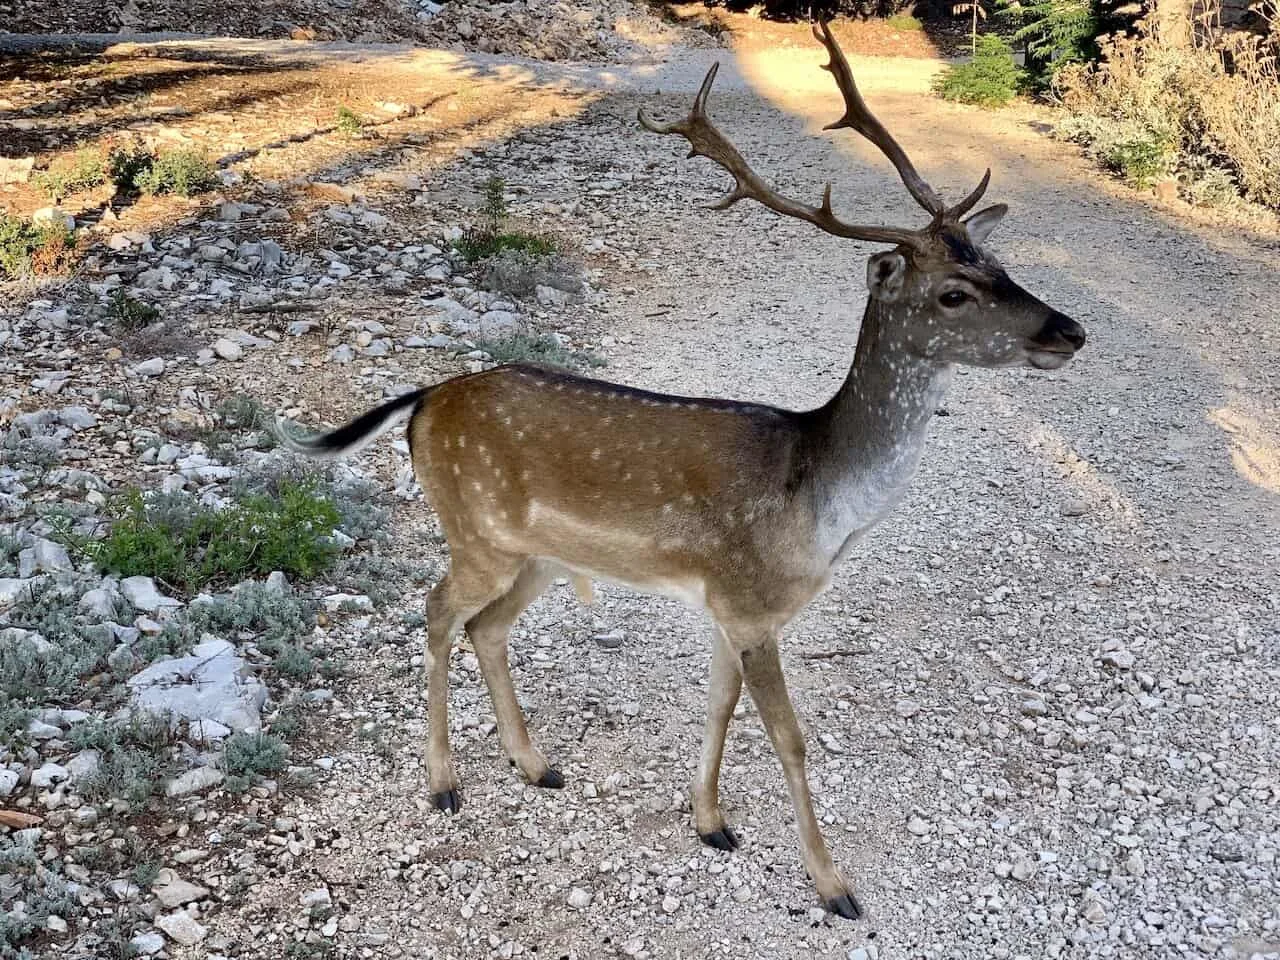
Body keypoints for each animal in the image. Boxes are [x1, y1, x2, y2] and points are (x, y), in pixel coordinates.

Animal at [275, 24, 1085, 926]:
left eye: (1002, 267)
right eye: (952, 294)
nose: (1069, 331)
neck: (818, 502)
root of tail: (421, 401)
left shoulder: (732, 609)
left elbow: (719, 705)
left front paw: (710, 822)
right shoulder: (750, 603)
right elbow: (790, 737)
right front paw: (833, 885)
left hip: (536, 555)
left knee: (487, 627)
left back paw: (536, 764)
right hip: (474, 529)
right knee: (437, 611)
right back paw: (445, 783)